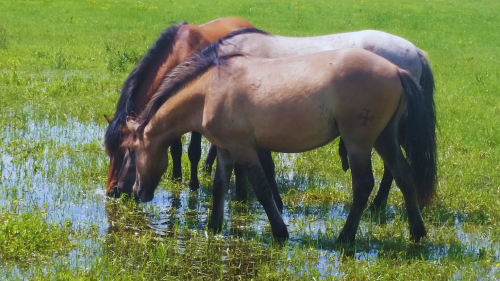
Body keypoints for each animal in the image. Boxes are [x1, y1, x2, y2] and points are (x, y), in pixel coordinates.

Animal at [102, 18, 254, 197]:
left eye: (125, 149)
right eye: (109, 151)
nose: (111, 190)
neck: (181, 54)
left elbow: (194, 151)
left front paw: (193, 184)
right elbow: (175, 149)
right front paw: (176, 178)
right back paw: (207, 167)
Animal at [123, 31, 436, 244]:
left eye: (132, 152)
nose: (137, 192)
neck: (211, 89)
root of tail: (397, 69)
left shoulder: (244, 149)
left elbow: (261, 188)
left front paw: (280, 231)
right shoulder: (225, 149)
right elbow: (219, 186)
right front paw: (214, 226)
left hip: (358, 142)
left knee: (363, 185)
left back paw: (345, 237)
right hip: (384, 137)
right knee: (403, 175)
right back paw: (417, 232)